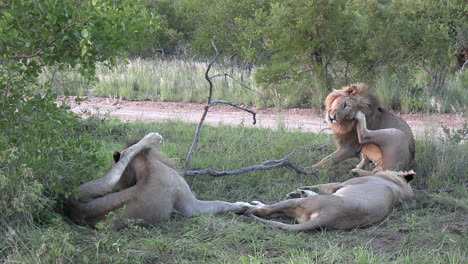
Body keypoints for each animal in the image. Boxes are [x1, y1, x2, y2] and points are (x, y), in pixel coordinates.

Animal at [65, 133, 252, 228]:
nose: (125, 185)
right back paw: (152, 138)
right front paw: (243, 205)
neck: (148, 166)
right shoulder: (190, 206)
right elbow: (221, 203)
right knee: (126, 153)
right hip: (101, 185)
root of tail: (73, 209)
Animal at [243, 169, 414, 231]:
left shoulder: (339, 185)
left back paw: (244, 206)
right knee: (270, 212)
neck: (398, 187)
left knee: (264, 210)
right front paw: (301, 191)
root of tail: (330, 216)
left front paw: (301, 189)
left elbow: (321, 185)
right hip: (294, 213)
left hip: (297, 205)